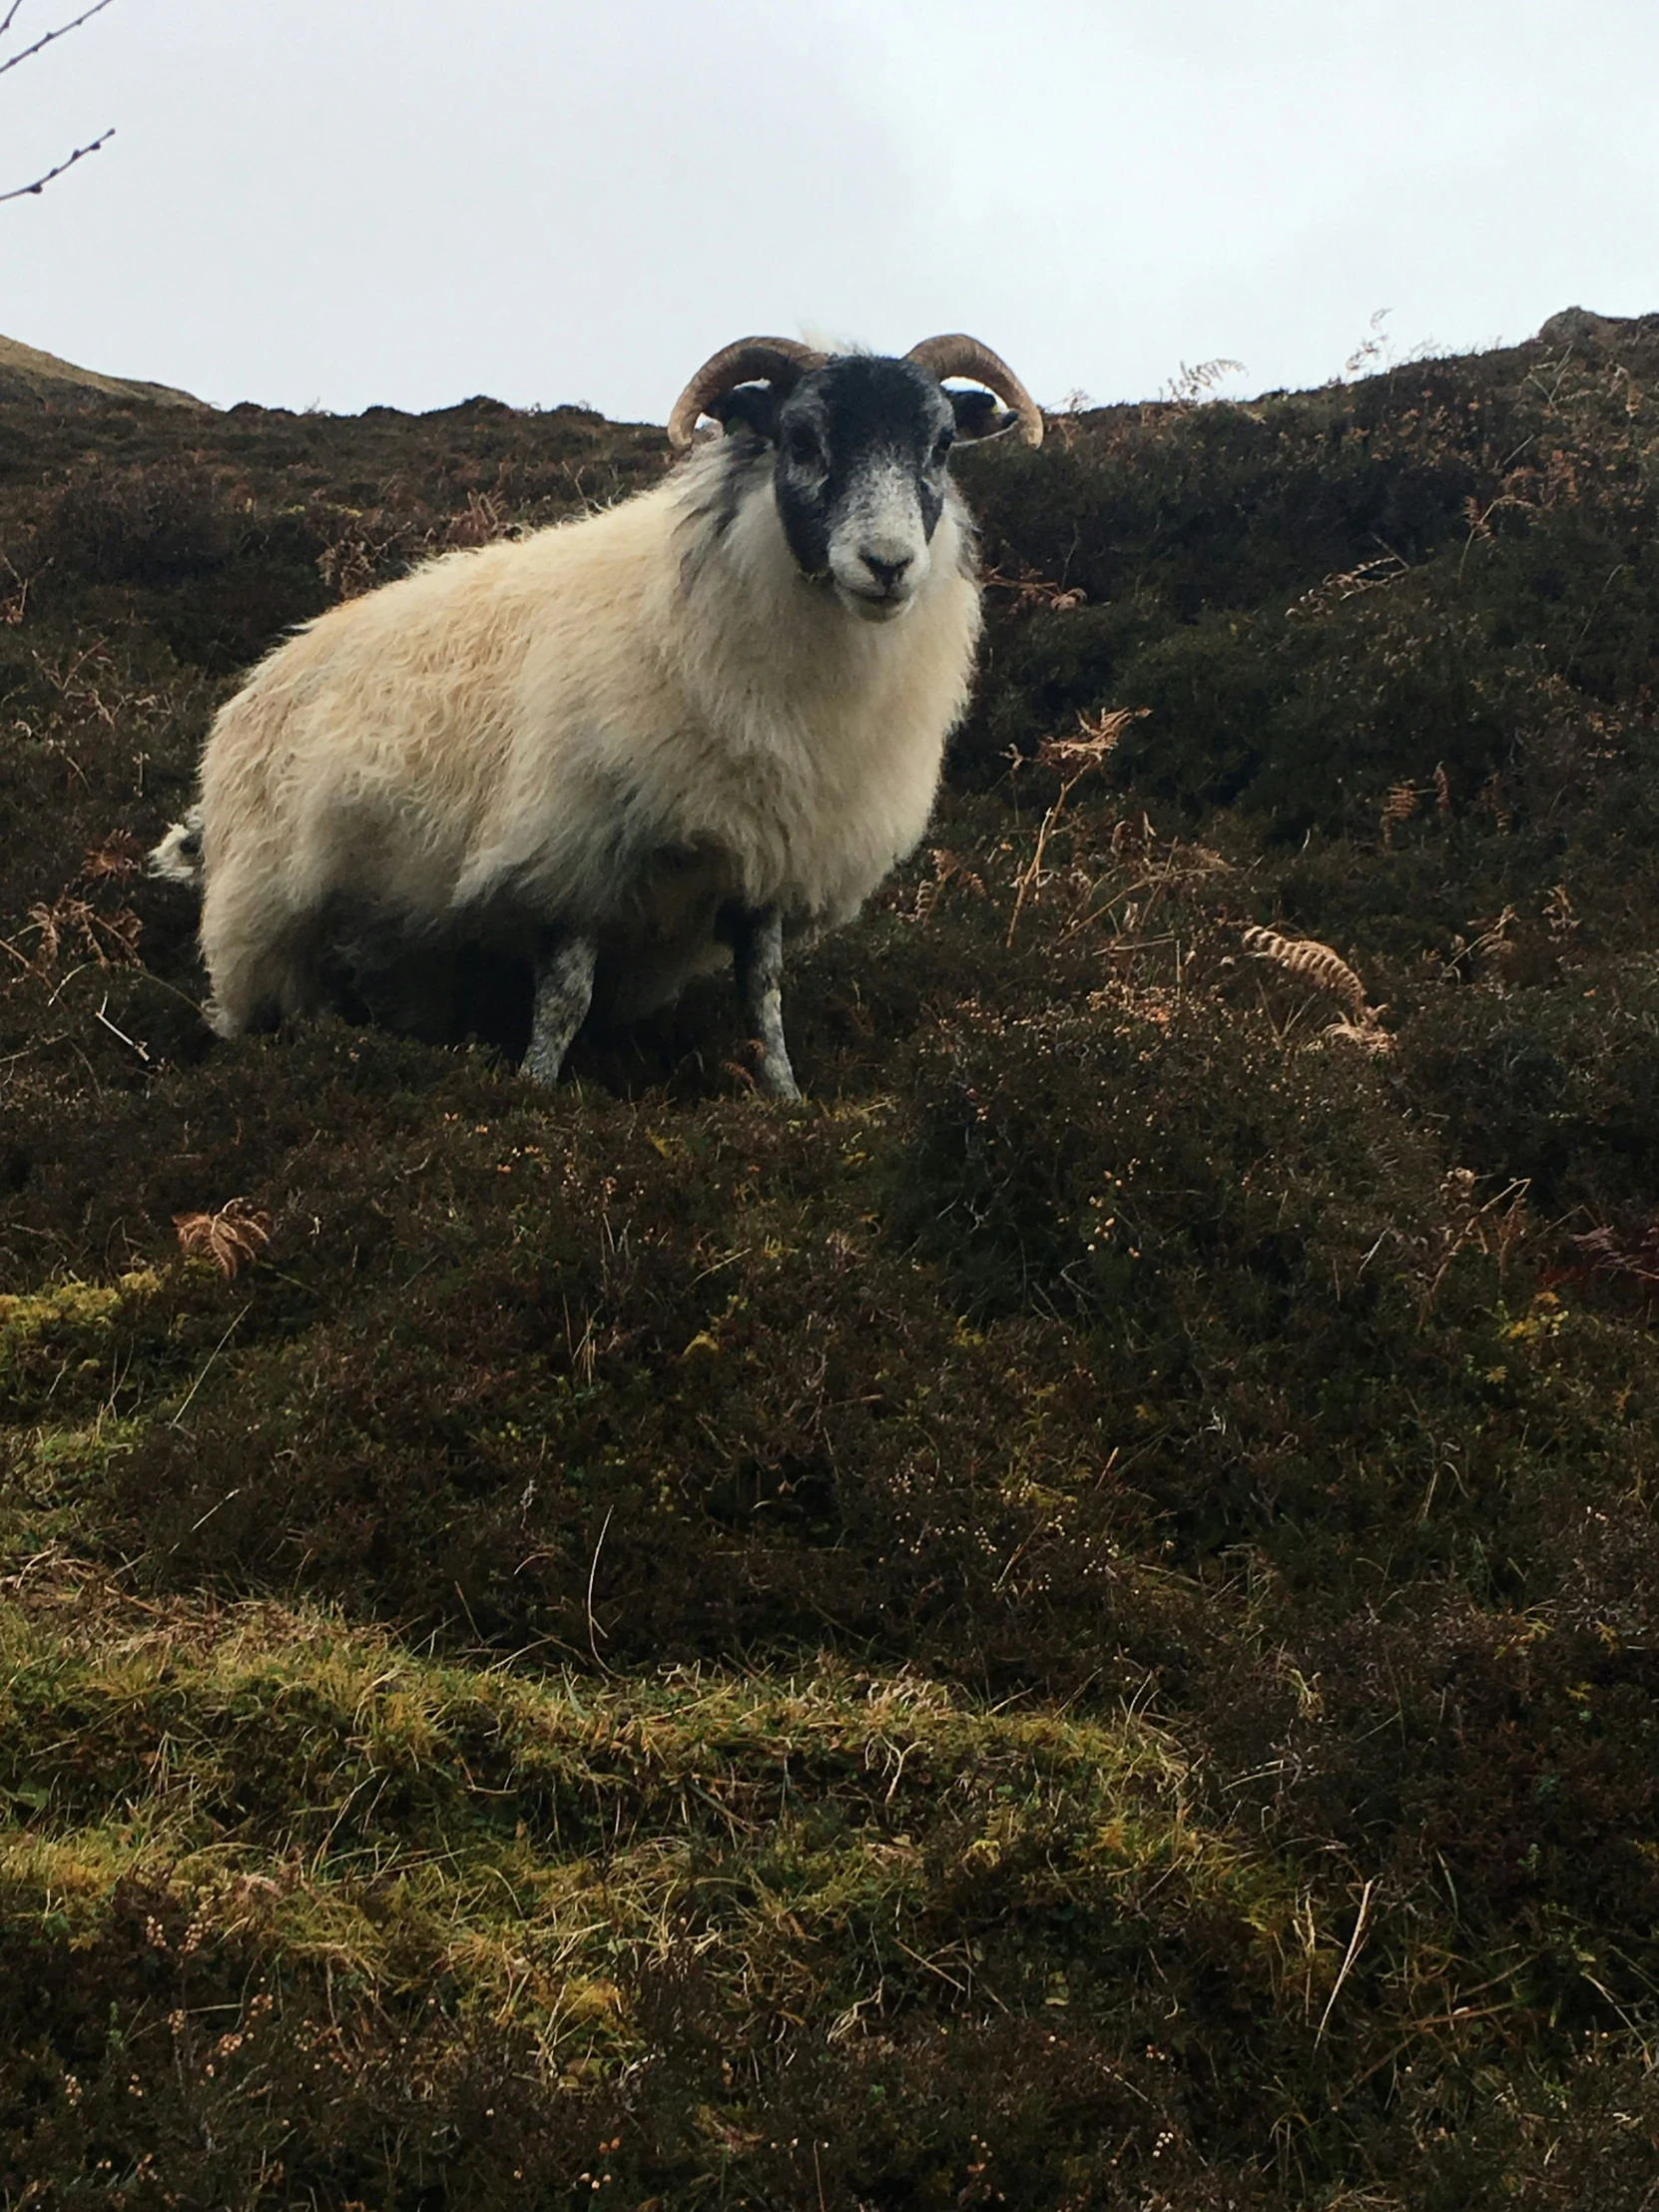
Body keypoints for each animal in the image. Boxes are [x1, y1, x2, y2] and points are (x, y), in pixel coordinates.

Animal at [149, 333, 1043, 1097]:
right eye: (802, 440)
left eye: (940, 446)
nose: (888, 565)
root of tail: (261, 676)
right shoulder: (571, 852)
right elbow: (563, 1000)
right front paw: (533, 1094)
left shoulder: (768, 849)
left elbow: (763, 993)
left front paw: (784, 1098)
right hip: (262, 914)